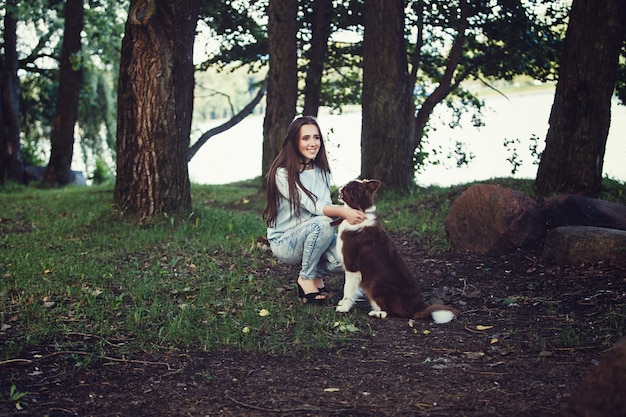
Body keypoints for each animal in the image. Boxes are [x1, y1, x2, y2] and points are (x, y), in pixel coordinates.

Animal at [334, 177, 456, 324]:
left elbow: (347, 290)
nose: (339, 187)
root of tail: (417, 307)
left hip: (376, 285)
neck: (359, 211)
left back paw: (377, 313)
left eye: (347, 187)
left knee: (395, 313)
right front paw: (342, 303)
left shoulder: (352, 267)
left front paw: (344, 307)